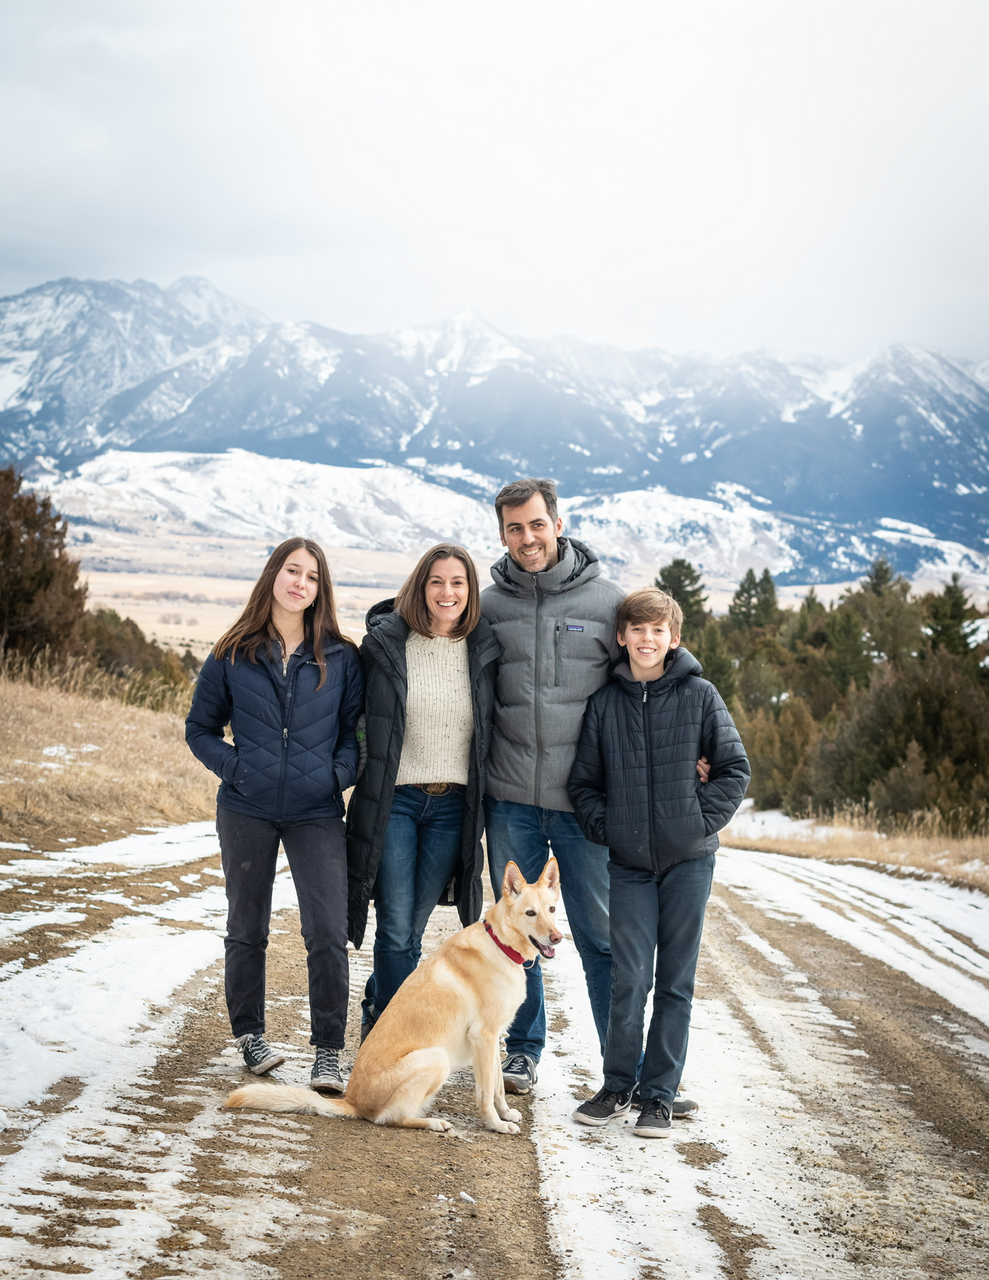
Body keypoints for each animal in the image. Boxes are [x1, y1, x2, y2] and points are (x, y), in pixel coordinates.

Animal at [225, 857, 562, 1134]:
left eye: (552, 910)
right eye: (530, 913)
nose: (558, 937)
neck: (500, 944)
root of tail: (352, 1101)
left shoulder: (493, 1040)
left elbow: (498, 1088)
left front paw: (505, 1114)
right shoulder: (484, 1037)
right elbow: (485, 1093)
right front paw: (495, 1124)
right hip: (435, 1058)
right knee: (387, 1118)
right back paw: (432, 1122)